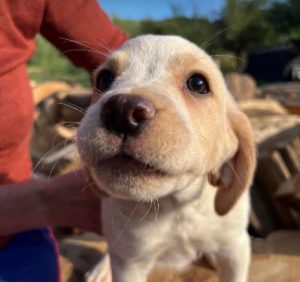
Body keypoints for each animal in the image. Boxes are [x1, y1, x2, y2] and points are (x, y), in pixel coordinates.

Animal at [77, 35, 255, 282]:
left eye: (198, 84)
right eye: (105, 79)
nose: (122, 110)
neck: (175, 206)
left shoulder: (235, 248)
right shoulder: (130, 264)